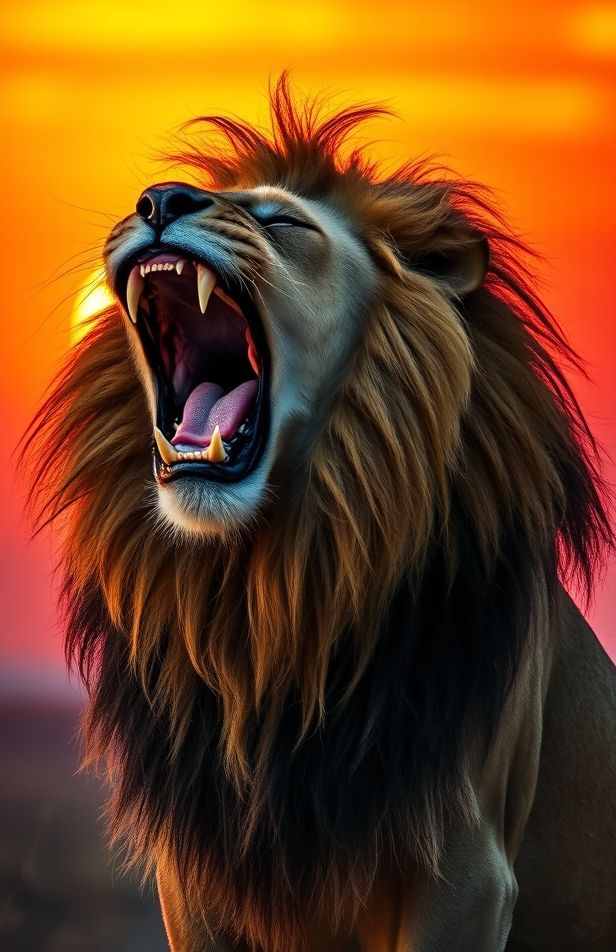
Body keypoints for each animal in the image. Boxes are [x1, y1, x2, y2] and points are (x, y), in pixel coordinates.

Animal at [26, 76, 616, 951]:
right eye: (158, 199)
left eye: (283, 223)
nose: (159, 200)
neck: (274, 605)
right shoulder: (194, 876)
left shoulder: (469, 873)